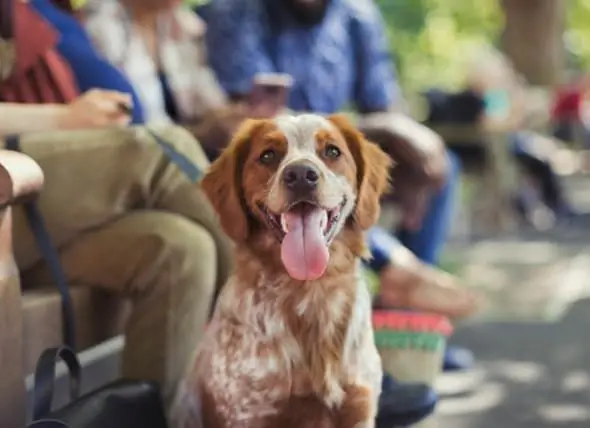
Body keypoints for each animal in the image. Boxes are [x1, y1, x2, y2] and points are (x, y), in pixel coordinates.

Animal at [171, 113, 394, 428]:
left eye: (332, 151)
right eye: (267, 155)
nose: (301, 174)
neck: (309, 292)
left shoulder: (359, 408)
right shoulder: (250, 413)